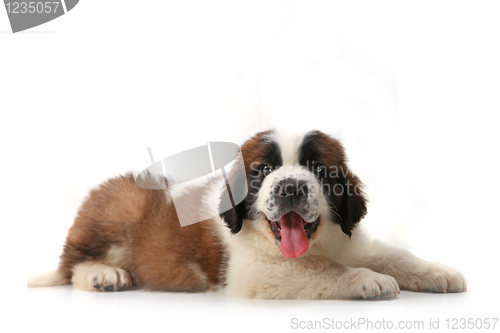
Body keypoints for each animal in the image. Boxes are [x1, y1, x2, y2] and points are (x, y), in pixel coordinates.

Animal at [27, 127, 464, 298]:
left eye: (317, 169)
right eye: (264, 171)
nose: (291, 187)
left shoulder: (349, 241)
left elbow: (392, 255)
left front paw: (438, 272)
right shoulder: (255, 272)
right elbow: (320, 271)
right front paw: (367, 279)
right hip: (121, 208)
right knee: (72, 265)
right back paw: (104, 275)